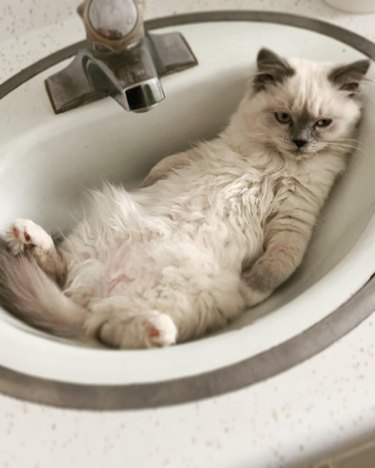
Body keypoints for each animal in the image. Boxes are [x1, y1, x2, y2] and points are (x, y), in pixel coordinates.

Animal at [0, 48, 370, 348]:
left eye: (322, 123)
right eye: (283, 117)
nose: (300, 142)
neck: (276, 163)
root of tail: (96, 292)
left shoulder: (294, 218)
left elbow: (278, 265)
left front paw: (250, 291)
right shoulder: (207, 150)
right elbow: (162, 168)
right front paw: (145, 185)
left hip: (181, 292)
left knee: (107, 328)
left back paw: (156, 329)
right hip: (91, 238)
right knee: (70, 286)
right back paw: (25, 236)